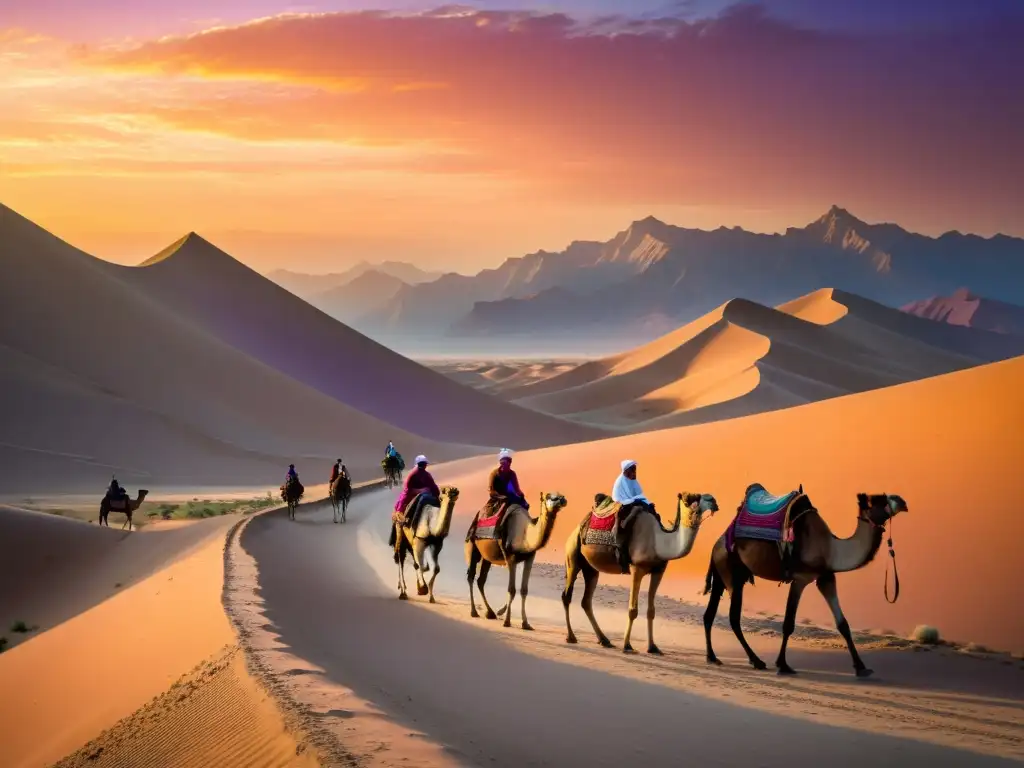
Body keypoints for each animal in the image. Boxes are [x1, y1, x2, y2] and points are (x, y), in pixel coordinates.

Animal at [464, 493, 569, 630]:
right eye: (549, 497)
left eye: (561, 495)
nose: (562, 499)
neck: (525, 535)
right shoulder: (510, 558)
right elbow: (511, 590)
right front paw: (507, 621)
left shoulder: (530, 558)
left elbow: (524, 590)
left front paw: (526, 623)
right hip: (473, 546)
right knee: (471, 576)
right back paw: (474, 612)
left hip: (487, 557)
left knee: (481, 581)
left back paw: (490, 613)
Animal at [561, 493, 720, 655]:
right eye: (691, 499)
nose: (713, 501)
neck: (659, 542)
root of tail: (577, 528)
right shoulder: (636, 569)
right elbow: (632, 610)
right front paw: (627, 645)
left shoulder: (658, 572)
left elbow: (651, 611)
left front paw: (653, 647)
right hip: (573, 555)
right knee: (567, 595)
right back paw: (571, 636)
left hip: (591, 569)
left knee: (586, 601)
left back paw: (604, 640)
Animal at [704, 493, 913, 679]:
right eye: (878, 500)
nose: (903, 502)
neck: (830, 549)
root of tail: (716, 545)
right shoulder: (800, 579)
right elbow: (788, 623)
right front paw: (783, 665)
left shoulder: (826, 578)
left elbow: (843, 624)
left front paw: (861, 668)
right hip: (732, 573)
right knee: (733, 618)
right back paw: (756, 661)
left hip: (722, 575)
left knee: (709, 614)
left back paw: (712, 657)